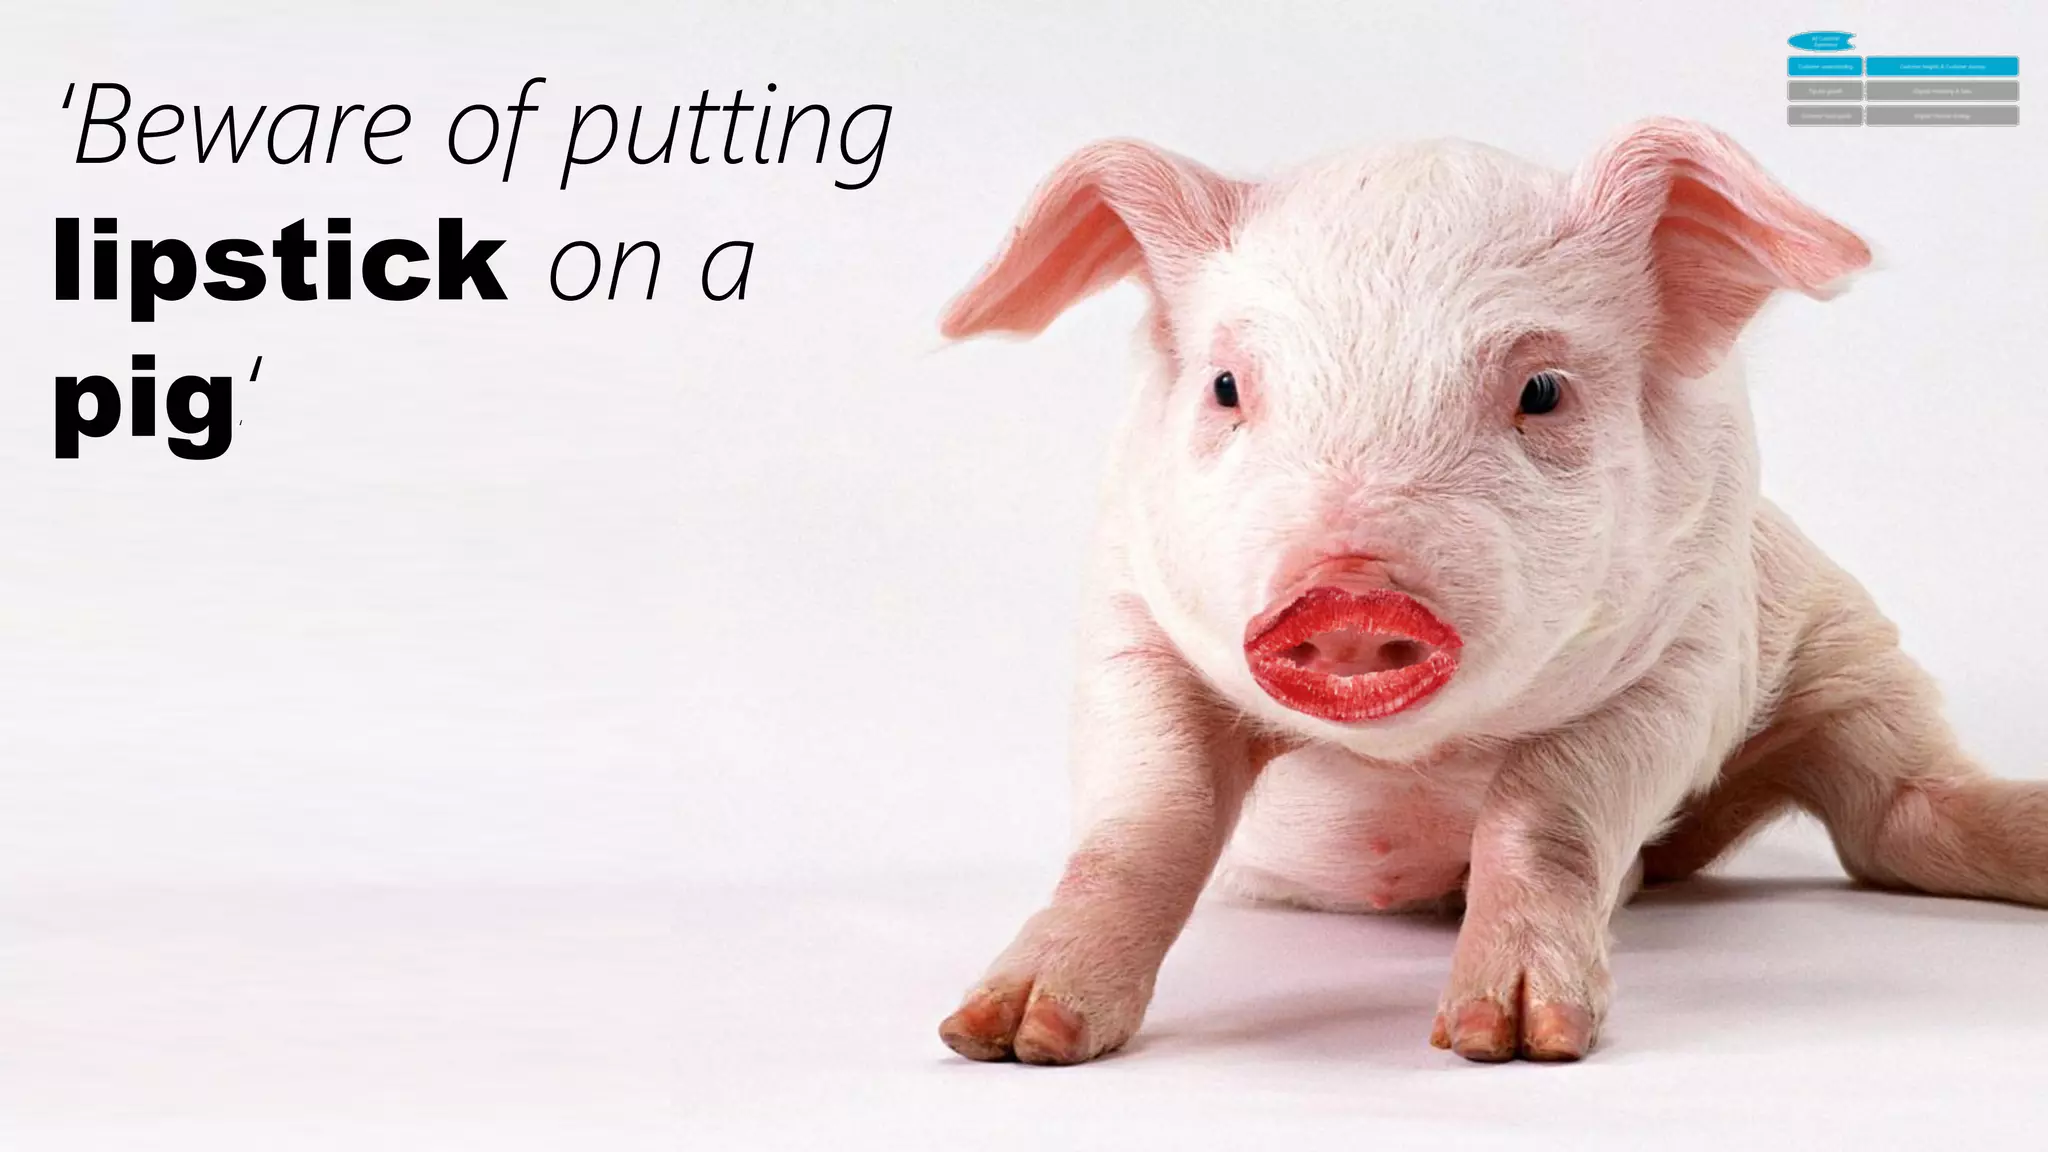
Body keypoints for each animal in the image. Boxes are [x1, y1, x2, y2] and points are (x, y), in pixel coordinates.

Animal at [933, 118, 2048, 1066]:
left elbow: (1543, 812)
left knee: (1890, 810)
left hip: (1844, 643)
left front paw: (1507, 1042)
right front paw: (1006, 1037)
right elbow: (1143, 818)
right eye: (1224, 388)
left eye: (1540, 391)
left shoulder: (1694, 647)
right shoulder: (1128, 619)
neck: (1406, 766)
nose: (1347, 594)